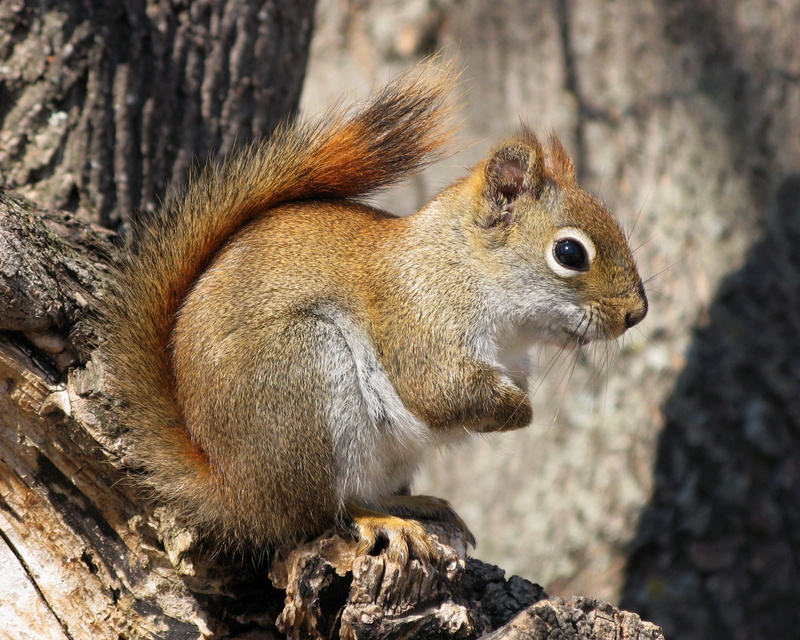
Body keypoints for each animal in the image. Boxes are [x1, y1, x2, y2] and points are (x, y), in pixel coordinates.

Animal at [99, 63, 647, 564]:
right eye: (570, 253)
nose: (636, 314)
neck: (467, 267)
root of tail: (233, 491)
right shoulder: (421, 319)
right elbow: (440, 392)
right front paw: (521, 411)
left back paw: (419, 505)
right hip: (307, 377)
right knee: (324, 510)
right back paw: (381, 520)